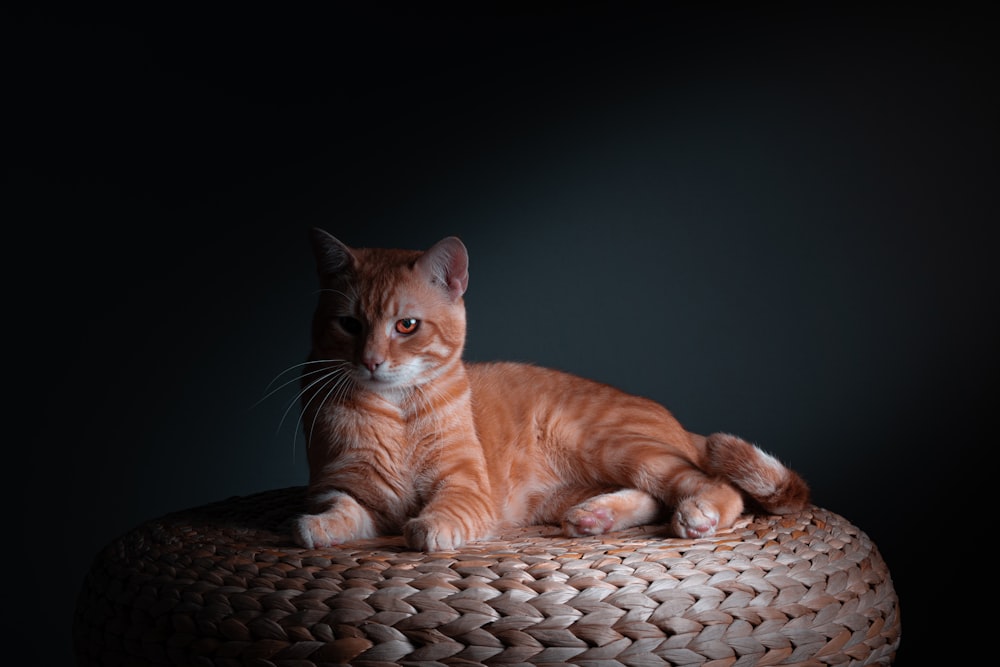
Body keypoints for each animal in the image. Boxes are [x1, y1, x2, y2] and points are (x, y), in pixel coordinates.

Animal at [292, 231, 808, 552]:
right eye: (350, 324)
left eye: (406, 326)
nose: (371, 361)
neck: (395, 413)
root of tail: (678, 424)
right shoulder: (341, 487)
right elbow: (341, 508)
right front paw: (320, 527)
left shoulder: (466, 485)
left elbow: (446, 508)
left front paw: (431, 526)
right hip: (562, 491)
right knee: (654, 496)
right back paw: (595, 516)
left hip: (612, 445)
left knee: (709, 485)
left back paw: (697, 513)